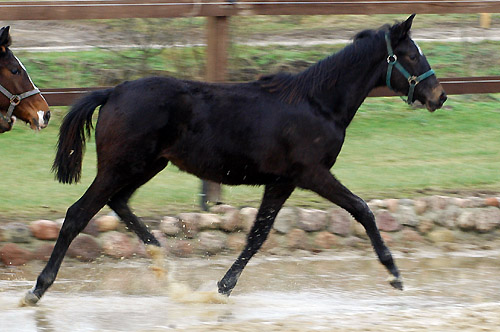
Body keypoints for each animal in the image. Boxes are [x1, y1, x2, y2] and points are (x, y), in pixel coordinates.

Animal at [22, 16, 446, 306]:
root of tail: (112, 92)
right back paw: (37, 289)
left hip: (145, 166)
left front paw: (222, 287)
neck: (317, 103)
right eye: (410, 55)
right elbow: (362, 210)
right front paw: (394, 274)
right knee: (78, 214)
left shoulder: (281, 181)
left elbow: (258, 235)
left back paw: (164, 263)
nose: (438, 96)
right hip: (121, 166)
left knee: (119, 202)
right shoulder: (312, 173)